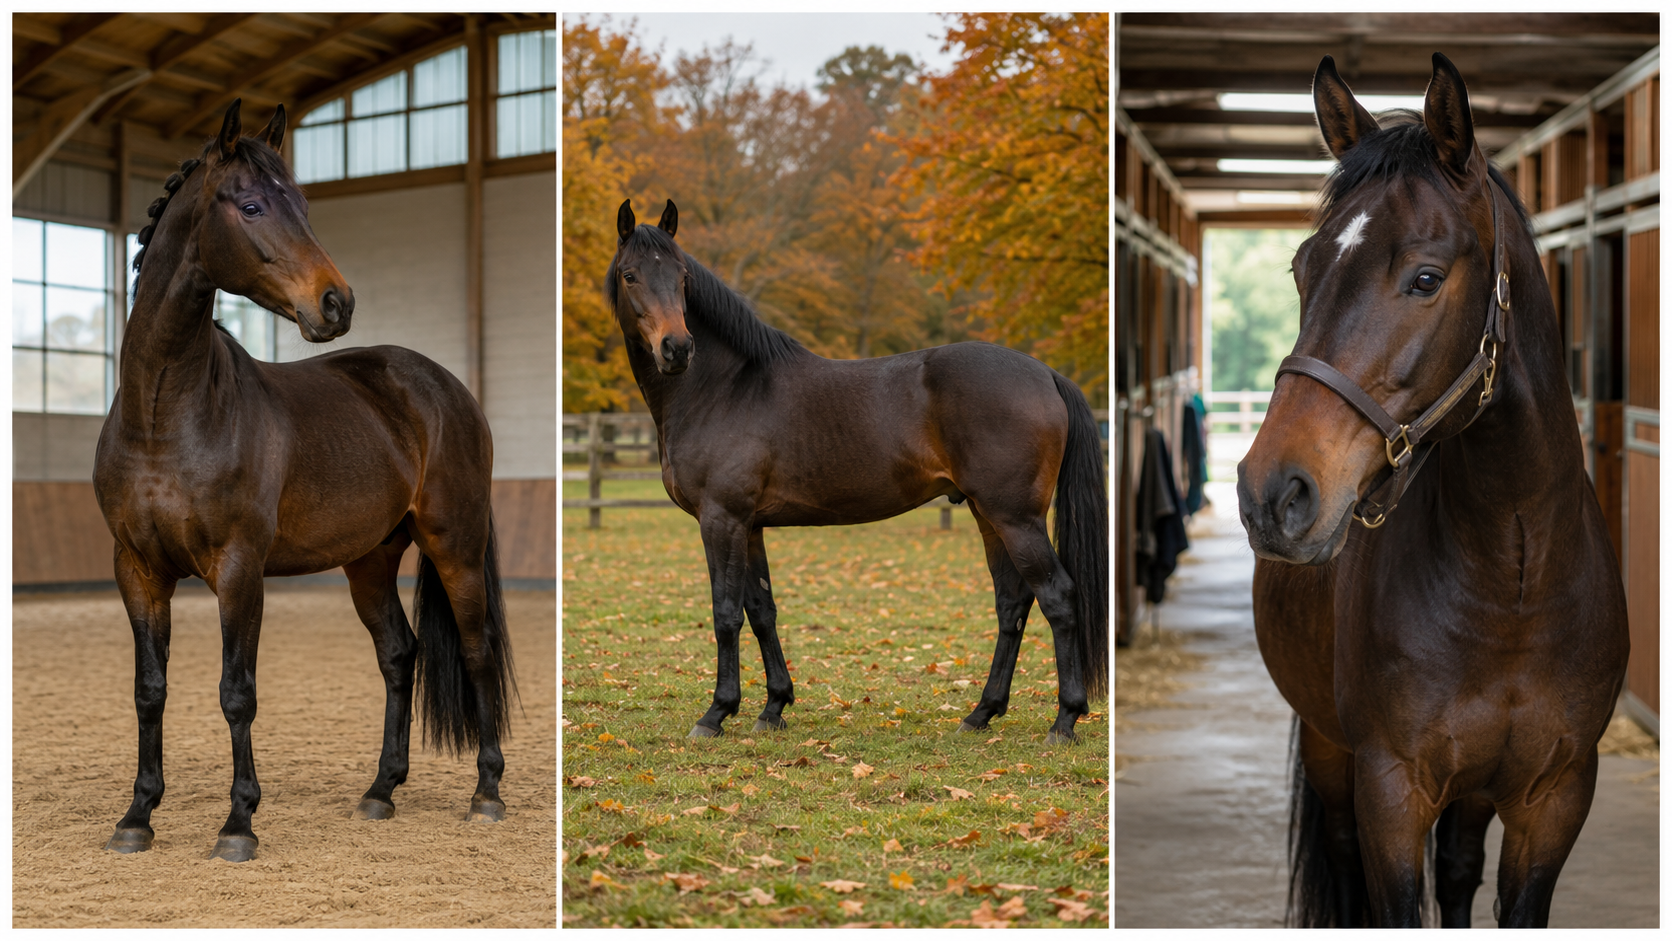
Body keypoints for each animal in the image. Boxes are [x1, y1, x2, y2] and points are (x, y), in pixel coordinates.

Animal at [92, 100, 516, 862]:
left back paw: (487, 792)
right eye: (253, 204)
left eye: (305, 204)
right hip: (370, 561)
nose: (336, 302)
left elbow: (237, 692)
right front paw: (137, 815)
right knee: (399, 654)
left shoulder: (239, 570)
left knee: (476, 651)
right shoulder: (136, 569)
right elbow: (149, 690)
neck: (166, 415)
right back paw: (381, 790)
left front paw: (238, 823)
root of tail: (444, 386)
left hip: (456, 546)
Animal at [605, 199, 1107, 745]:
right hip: (989, 516)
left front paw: (717, 712)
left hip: (1016, 518)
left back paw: (1064, 720)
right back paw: (981, 713)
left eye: (682, 277)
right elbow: (760, 612)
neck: (726, 386)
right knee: (1012, 604)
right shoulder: (750, 525)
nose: (677, 348)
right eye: (631, 275)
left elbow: (725, 615)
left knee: (1057, 597)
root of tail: (1047, 374)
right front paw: (773, 707)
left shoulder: (722, 520)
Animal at [1237, 54, 1628, 927]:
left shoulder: (1556, 797)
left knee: (1455, 868)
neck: (1512, 580)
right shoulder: (1390, 788)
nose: (1270, 493)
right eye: (1302, 269)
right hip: (1331, 752)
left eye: (1424, 277)